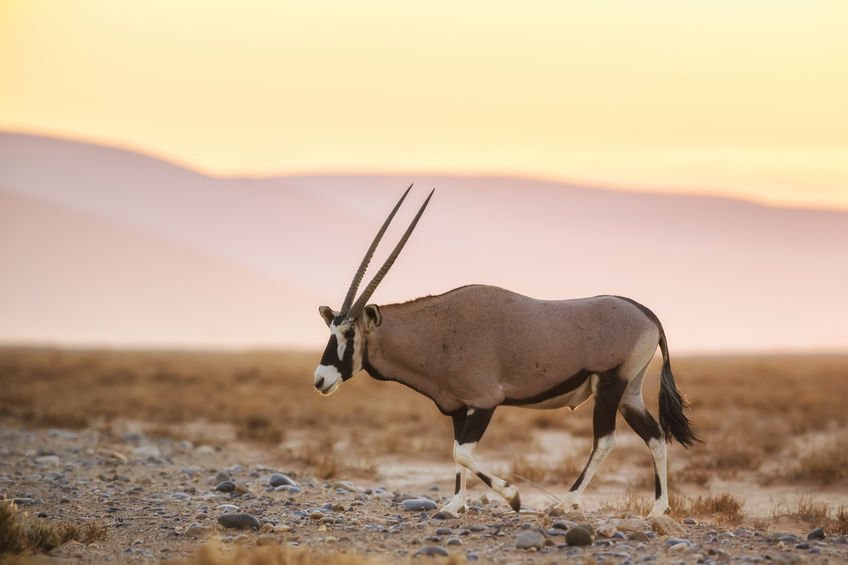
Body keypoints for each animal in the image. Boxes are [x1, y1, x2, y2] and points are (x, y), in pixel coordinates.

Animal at [314, 184, 700, 516]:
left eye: (349, 332)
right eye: (332, 329)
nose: (320, 380)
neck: (437, 328)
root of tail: (647, 314)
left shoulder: (485, 402)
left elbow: (462, 452)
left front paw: (513, 496)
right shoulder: (459, 406)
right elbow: (457, 452)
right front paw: (455, 506)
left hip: (609, 385)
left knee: (604, 441)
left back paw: (566, 503)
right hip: (628, 392)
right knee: (656, 437)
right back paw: (658, 510)